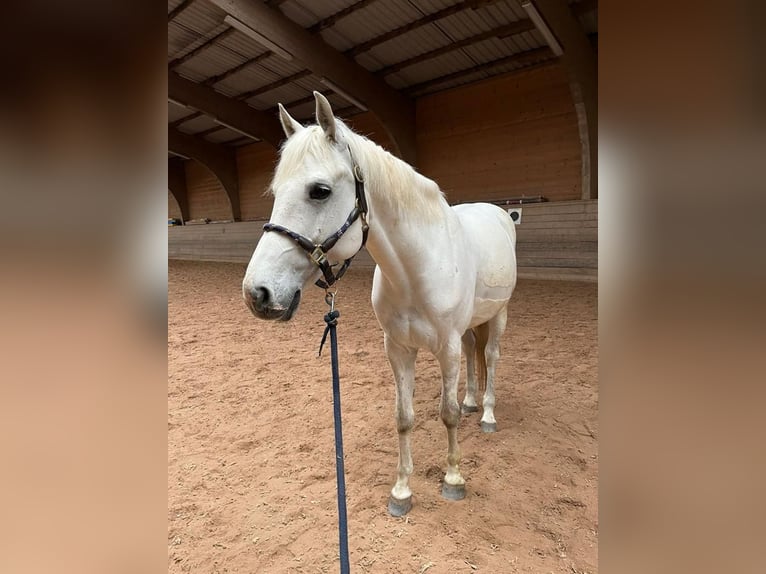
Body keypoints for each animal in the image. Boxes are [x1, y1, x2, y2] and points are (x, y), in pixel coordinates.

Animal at [243, 93, 520, 516]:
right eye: (276, 192)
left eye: (319, 190)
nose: (257, 293)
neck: (416, 270)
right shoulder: (398, 348)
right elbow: (403, 417)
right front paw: (401, 491)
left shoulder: (446, 348)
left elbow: (448, 414)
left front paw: (453, 480)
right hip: (471, 324)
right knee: (475, 353)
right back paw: (473, 401)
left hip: (498, 315)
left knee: (489, 355)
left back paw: (487, 413)